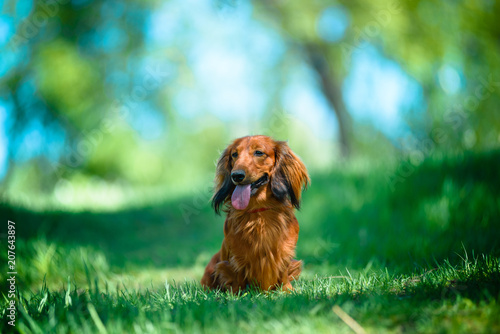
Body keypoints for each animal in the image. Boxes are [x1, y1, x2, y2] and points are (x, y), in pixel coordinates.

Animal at [200, 136, 308, 292]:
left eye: (259, 152)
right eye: (234, 154)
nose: (236, 175)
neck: (258, 212)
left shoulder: (285, 253)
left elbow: (283, 270)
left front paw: (287, 290)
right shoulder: (234, 257)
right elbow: (237, 274)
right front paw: (238, 293)